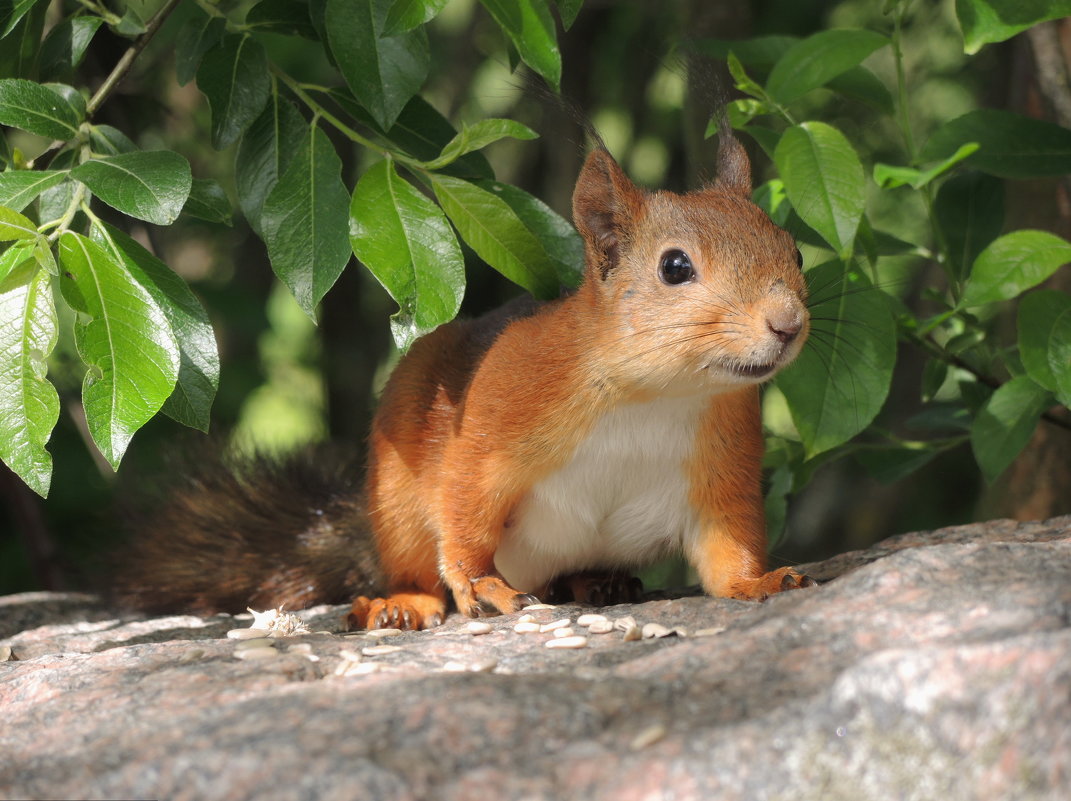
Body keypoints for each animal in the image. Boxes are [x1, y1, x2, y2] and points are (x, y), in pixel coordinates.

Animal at [112, 131, 809, 629]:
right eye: (674, 267)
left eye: (795, 249)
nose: (789, 323)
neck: (657, 395)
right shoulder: (502, 412)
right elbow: (467, 502)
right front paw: (481, 585)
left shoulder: (724, 461)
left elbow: (728, 550)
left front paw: (763, 581)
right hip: (396, 504)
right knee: (418, 568)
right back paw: (400, 605)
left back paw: (598, 581)